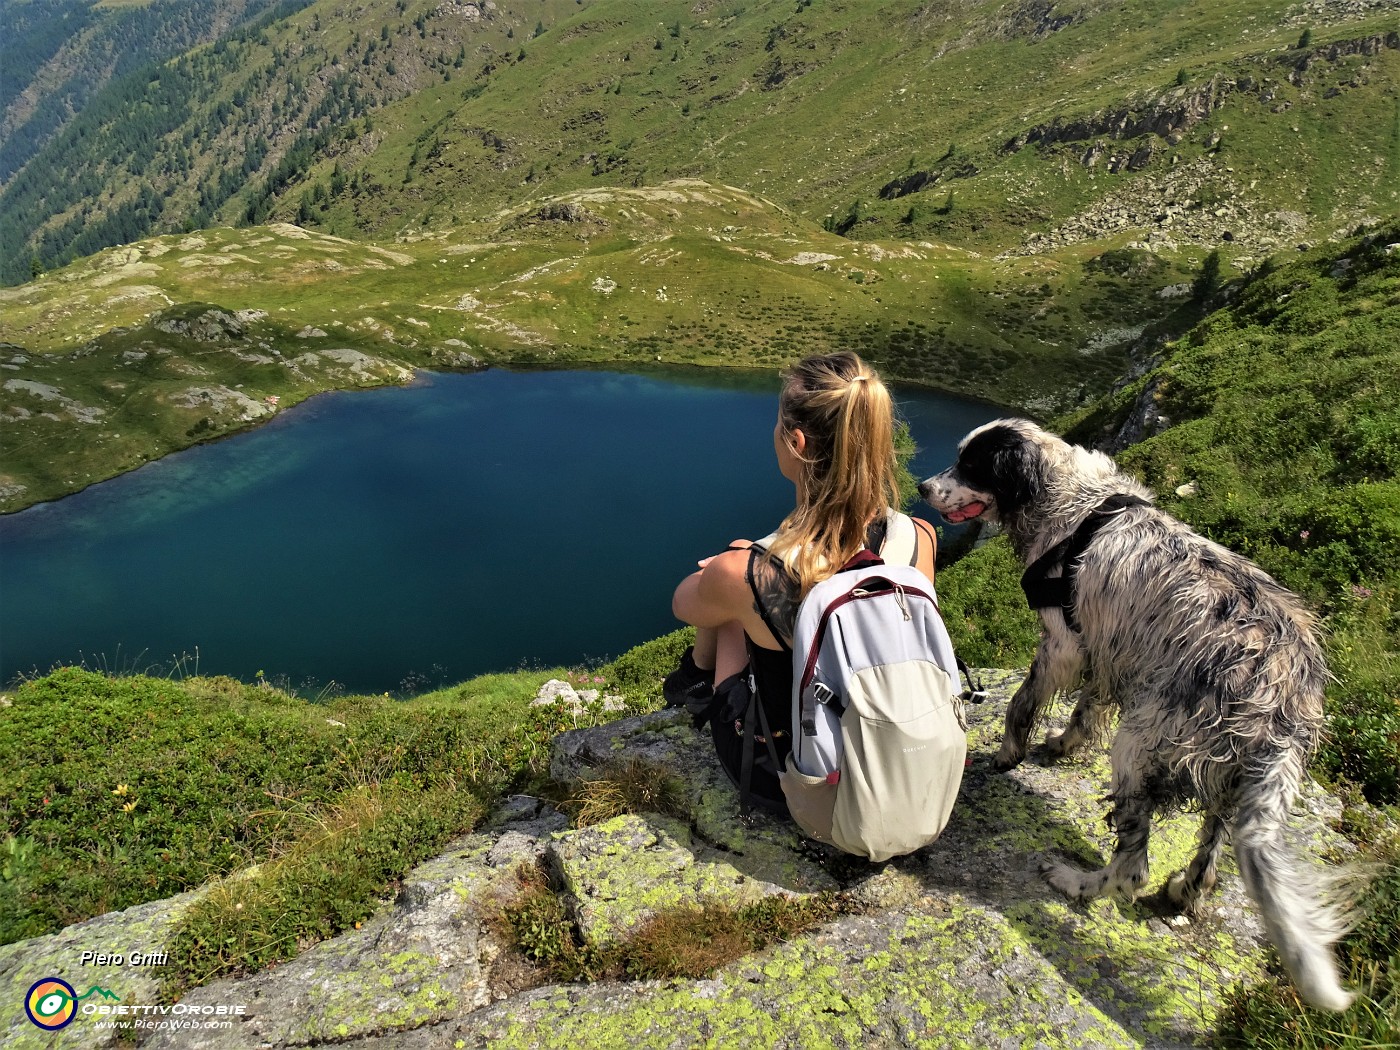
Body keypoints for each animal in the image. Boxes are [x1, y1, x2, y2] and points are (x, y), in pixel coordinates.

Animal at [924, 422, 1349, 1013]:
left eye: (971, 465)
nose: (921, 487)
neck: (1072, 504)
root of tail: (1284, 694)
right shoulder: (1105, 649)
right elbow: (1086, 708)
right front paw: (1062, 744)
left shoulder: (1063, 643)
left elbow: (1021, 703)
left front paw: (1010, 753)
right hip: (1228, 776)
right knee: (1208, 859)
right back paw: (1182, 891)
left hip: (1138, 743)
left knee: (1130, 869)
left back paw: (1073, 881)